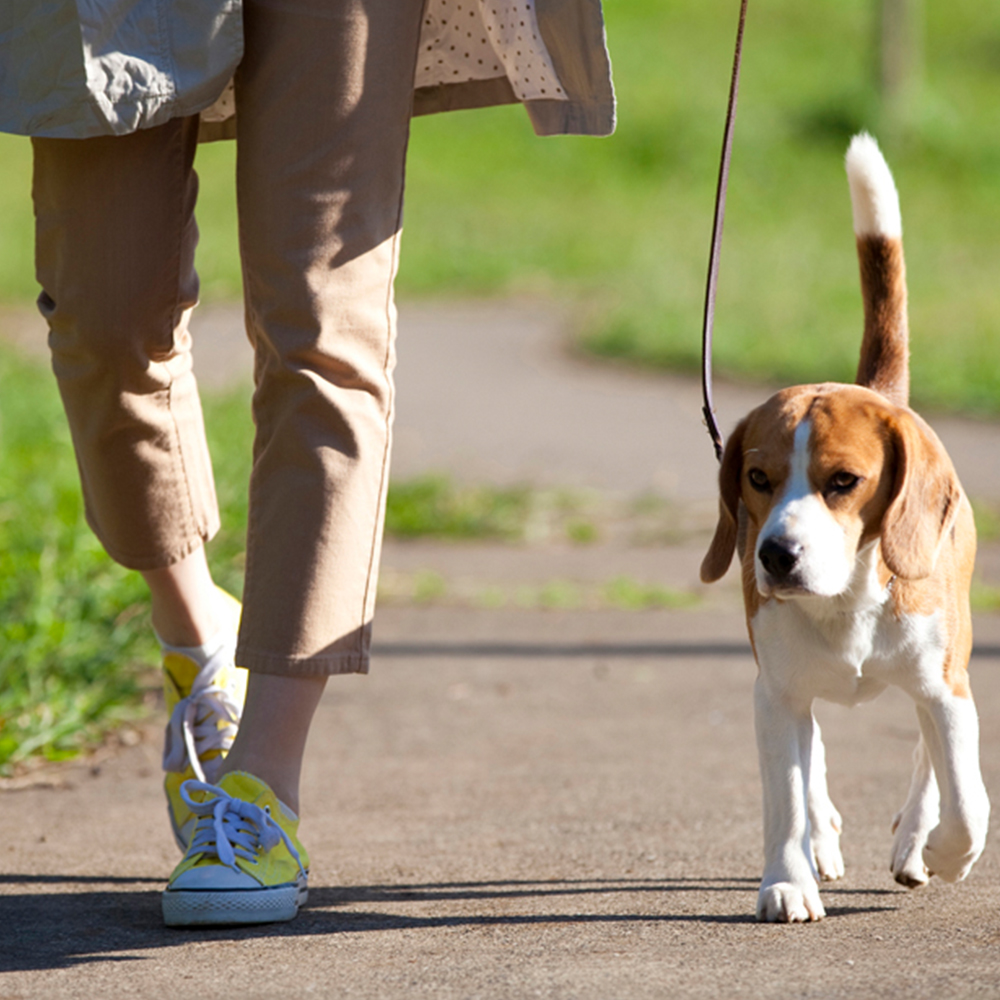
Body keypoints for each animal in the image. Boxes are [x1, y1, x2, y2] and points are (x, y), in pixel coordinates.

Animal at [700, 133, 988, 920]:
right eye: (757, 479)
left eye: (843, 483)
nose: (776, 555)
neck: (847, 600)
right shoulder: (775, 694)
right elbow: (787, 796)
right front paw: (787, 879)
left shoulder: (947, 688)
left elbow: (965, 796)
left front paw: (942, 849)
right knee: (814, 757)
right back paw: (823, 839)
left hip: (950, 657)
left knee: (929, 755)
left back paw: (916, 838)